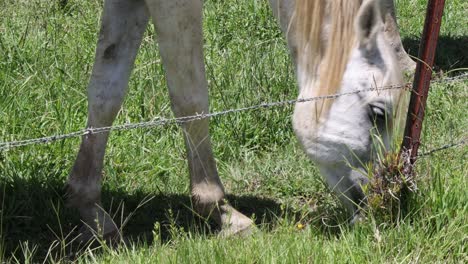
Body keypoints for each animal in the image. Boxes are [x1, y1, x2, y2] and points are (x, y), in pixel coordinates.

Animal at [66, 0, 414, 240]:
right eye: (378, 113)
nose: (382, 202)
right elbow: (191, 102)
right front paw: (221, 212)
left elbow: (106, 92)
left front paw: (92, 213)